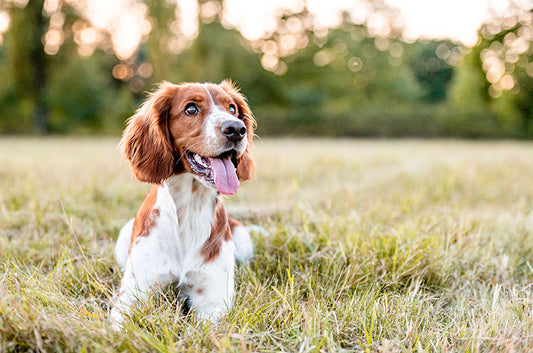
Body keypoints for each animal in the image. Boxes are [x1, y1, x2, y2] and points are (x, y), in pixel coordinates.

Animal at [109, 80, 255, 328]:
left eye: (232, 108)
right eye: (191, 109)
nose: (236, 129)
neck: (190, 210)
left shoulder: (213, 300)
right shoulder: (133, 293)